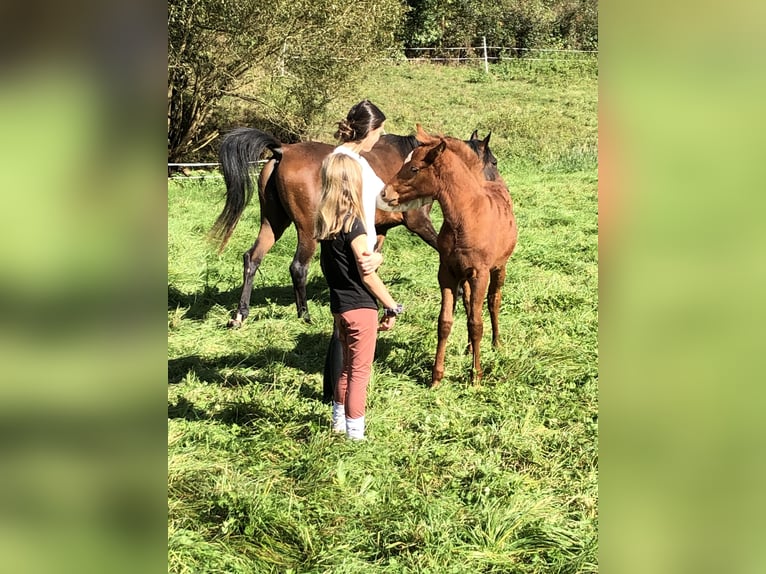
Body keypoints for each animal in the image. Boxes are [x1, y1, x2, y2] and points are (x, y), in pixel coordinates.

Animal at [210, 129, 500, 328]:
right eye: (494, 162)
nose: (496, 187)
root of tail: (283, 151)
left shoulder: (378, 230)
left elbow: (371, 265)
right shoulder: (418, 223)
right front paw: (460, 290)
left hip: (273, 223)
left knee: (252, 258)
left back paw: (240, 314)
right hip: (308, 231)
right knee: (298, 267)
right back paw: (304, 315)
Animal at [380, 125, 520, 388]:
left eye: (414, 169)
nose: (385, 193)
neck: (466, 217)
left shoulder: (480, 274)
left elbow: (477, 323)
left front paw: (476, 376)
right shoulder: (447, 273)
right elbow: (445, 322)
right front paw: (436, 377)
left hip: (499, 268)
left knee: (493, 302)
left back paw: (496, 343)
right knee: (469, 304)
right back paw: (468, 349)